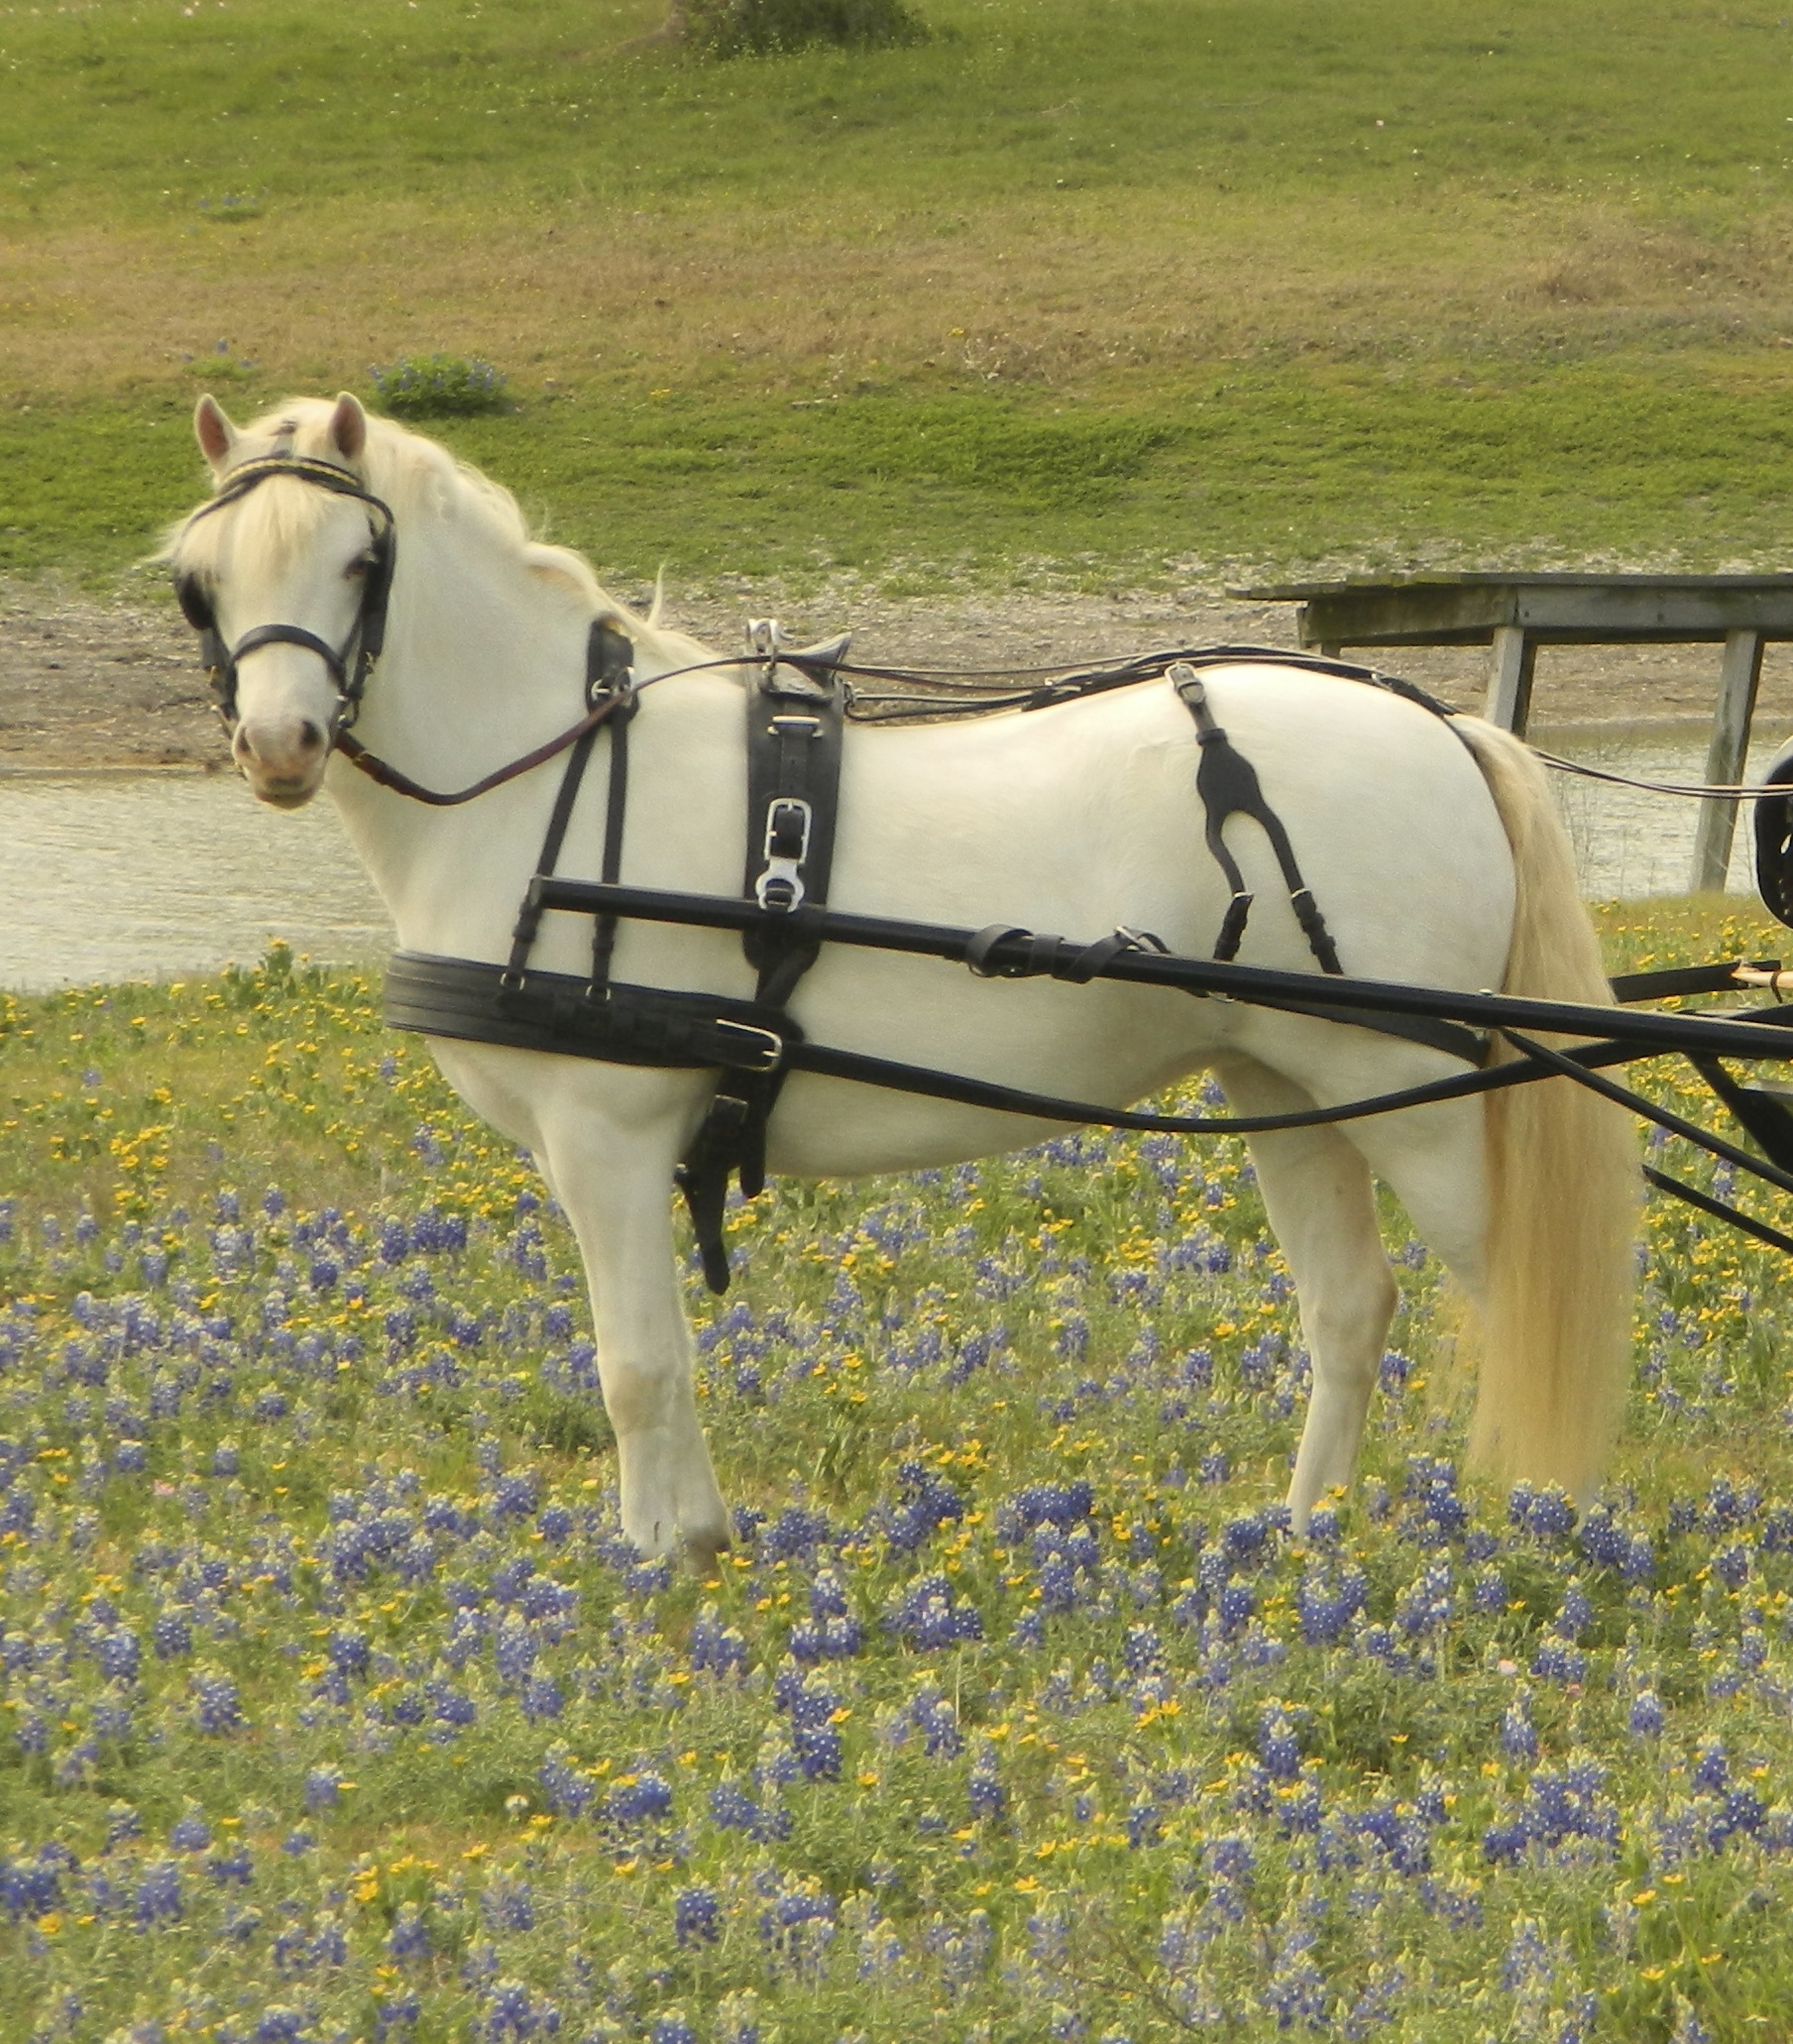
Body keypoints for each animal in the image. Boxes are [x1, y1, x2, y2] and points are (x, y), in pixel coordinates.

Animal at [164, 390, 1639, 1567]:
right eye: (198, 582)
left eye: (363, 559)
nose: (280, 744)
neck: (554, 781)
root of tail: (1441, 726)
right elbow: (664, 1362)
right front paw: (695, 1540)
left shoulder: (607, 1133)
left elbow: (637, 1366)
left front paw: (656, 1569)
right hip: (1289, 1080)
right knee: (1347, 1310)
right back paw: (1301, 1533)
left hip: (1414, 1095)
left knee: (1519, 1296)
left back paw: (1544, 1527)